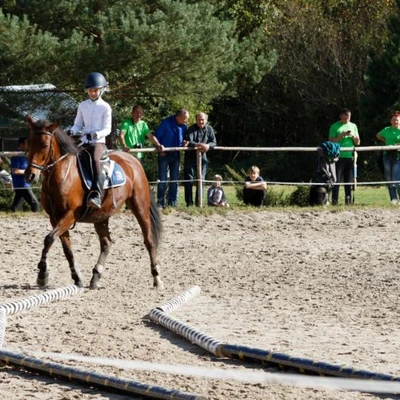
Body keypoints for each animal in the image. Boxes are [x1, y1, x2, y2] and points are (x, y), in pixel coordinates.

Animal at [24, 117, 164, 290]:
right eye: (29, 142)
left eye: (44, 144)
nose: (30, 175)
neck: (62, 174)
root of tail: (134, 161)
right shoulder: (55, 218)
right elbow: (66, 248)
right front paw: (76, 277)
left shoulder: (69, 215)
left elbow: (49, 239)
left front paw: (42, 275)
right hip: (101, 216)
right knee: (106, 243)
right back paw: (96, 276)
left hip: (140, 207)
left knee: (149, 240)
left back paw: (157, 278)